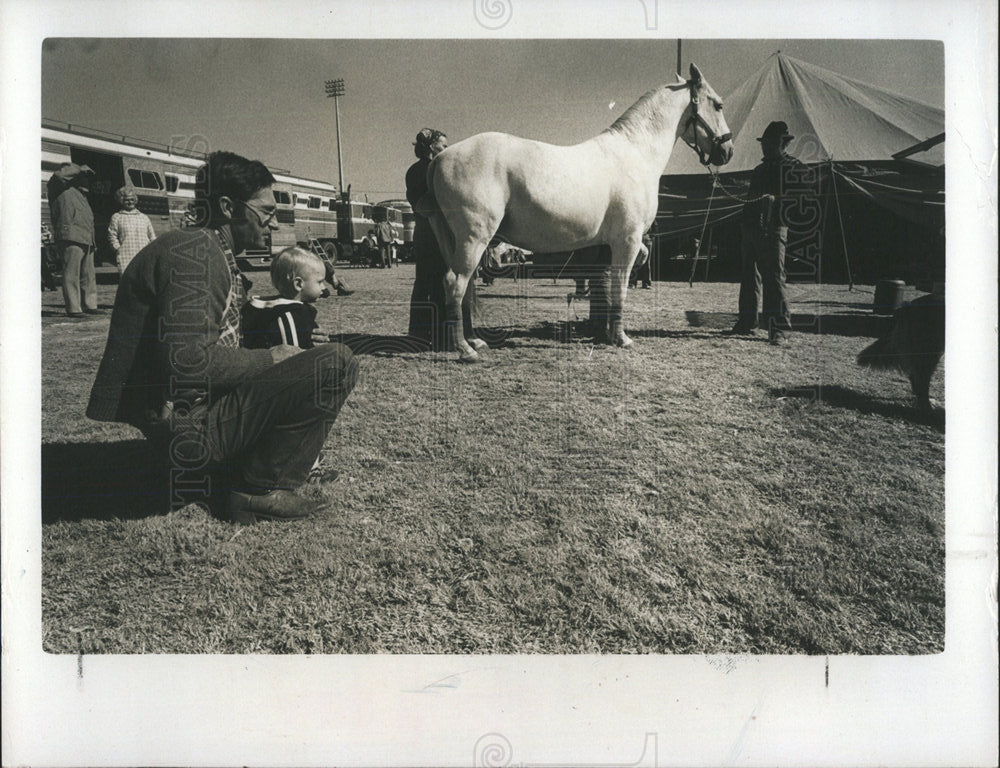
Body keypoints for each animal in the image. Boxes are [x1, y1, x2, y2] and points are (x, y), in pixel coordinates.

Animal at [422, 63, 736, 364]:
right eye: (718, 104)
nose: (728, 151)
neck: (635, 154)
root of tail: (441, 157)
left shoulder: (610, 245)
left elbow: (610, 283)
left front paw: (606, 332)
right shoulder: (628, 240)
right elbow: (620, 286)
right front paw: (621, 338)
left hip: (458, 240)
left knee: (461, 286)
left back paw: (474, 340)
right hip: (475, 237)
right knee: (456, 283)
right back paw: (466, 350)